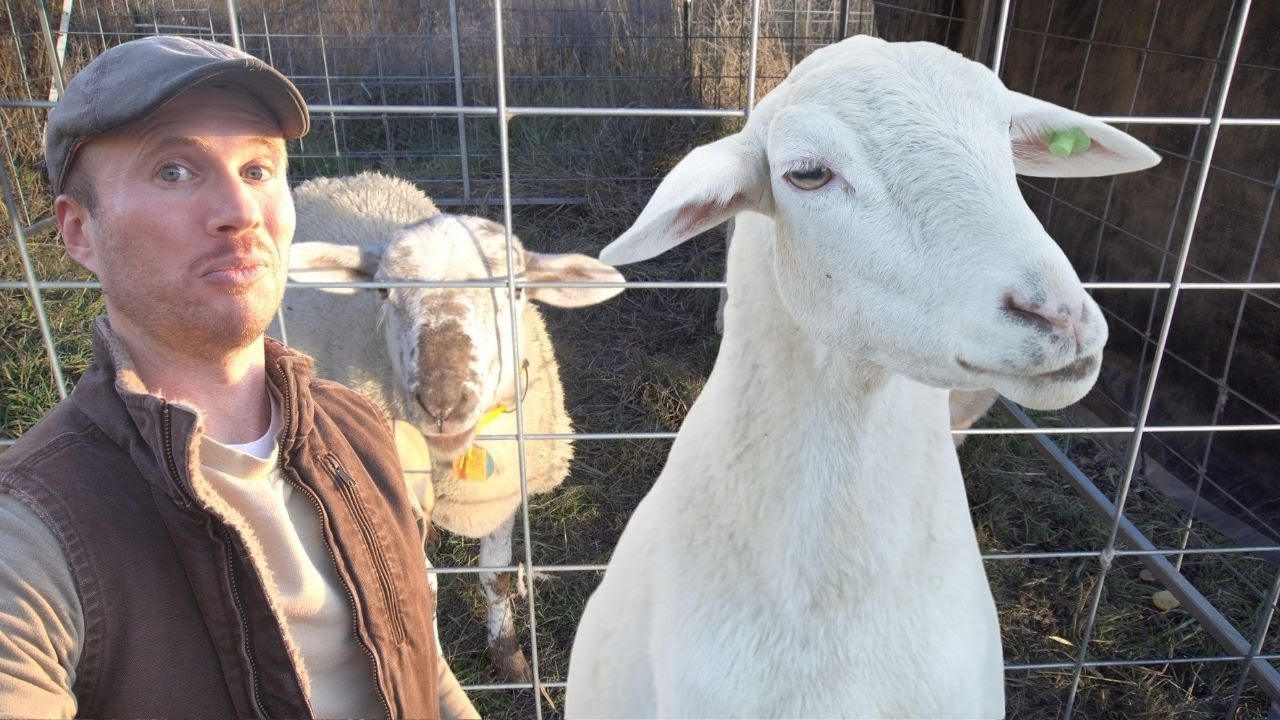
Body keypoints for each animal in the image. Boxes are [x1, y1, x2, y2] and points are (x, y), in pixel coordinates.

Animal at [274, 171, 625, 681]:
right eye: (383, 291)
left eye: (516, 291)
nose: (441, 403)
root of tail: (340, 177)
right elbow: (421, 589)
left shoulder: (504, 495)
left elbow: (497, 577)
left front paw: (511, 658)